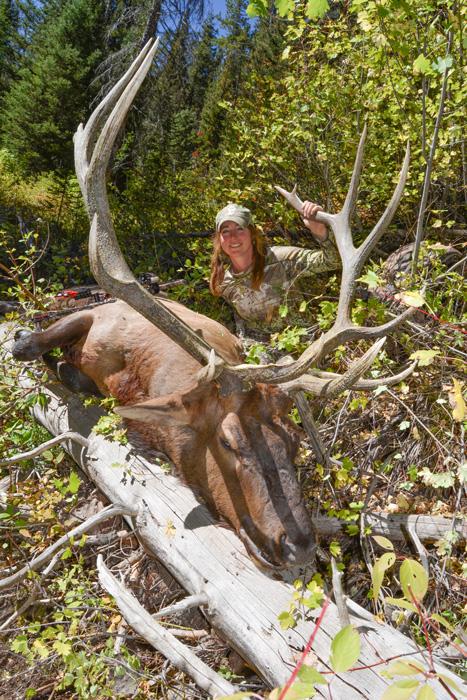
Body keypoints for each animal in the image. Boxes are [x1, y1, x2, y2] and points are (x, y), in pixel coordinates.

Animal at [12, 39, 417, 569]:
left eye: (294, 442)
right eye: (228, 441)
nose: (300, 547)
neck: (145, 376)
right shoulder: (101, 326)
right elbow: (42, 351)